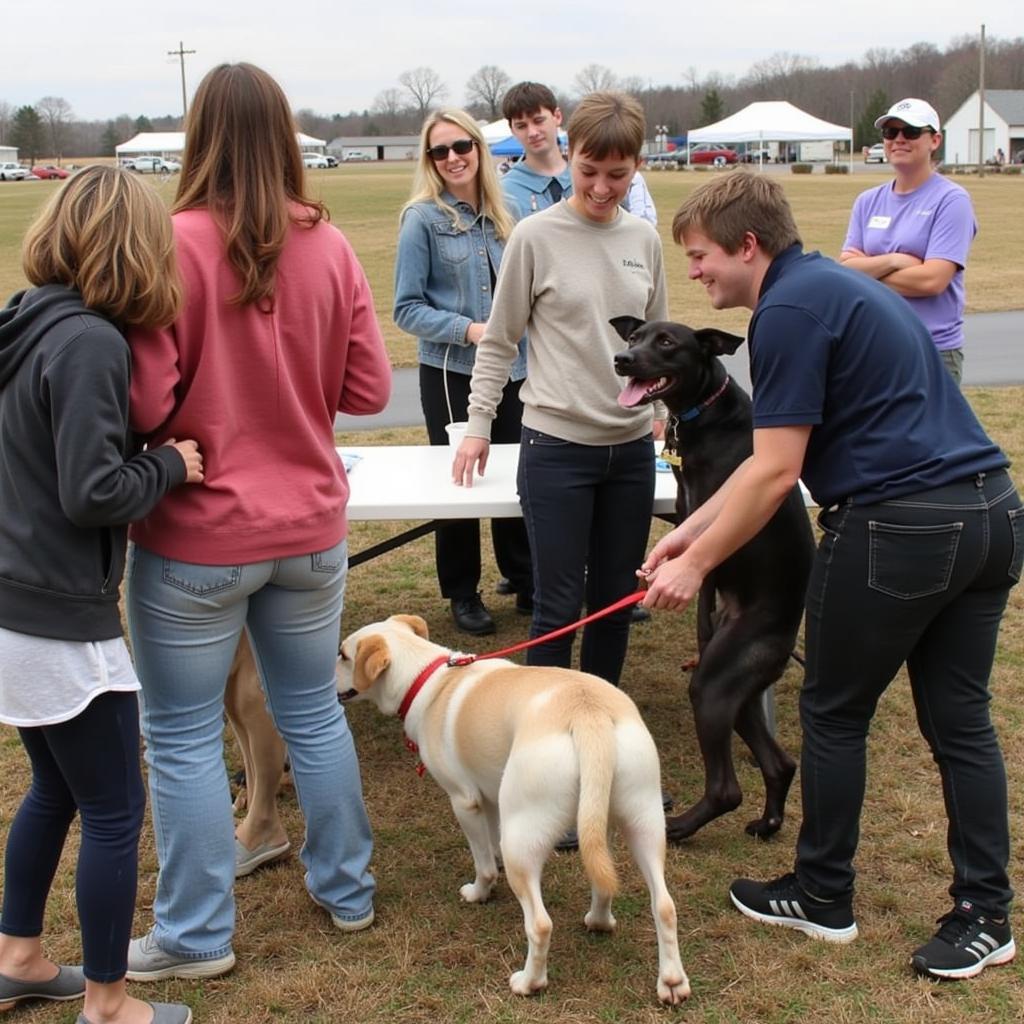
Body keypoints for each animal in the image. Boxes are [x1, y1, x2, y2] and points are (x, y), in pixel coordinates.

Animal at [610, 315, 811, 843]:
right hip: (739, 690)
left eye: (665, 342)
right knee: (780, 764)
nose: (622, 360)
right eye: (633, 338)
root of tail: (785, 640)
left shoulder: (717, 538)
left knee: (727, 790)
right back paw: (767, 822)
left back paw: (680, 826)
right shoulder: (690, 517)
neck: (702, 413)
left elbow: (697, 579)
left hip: (715, 685)